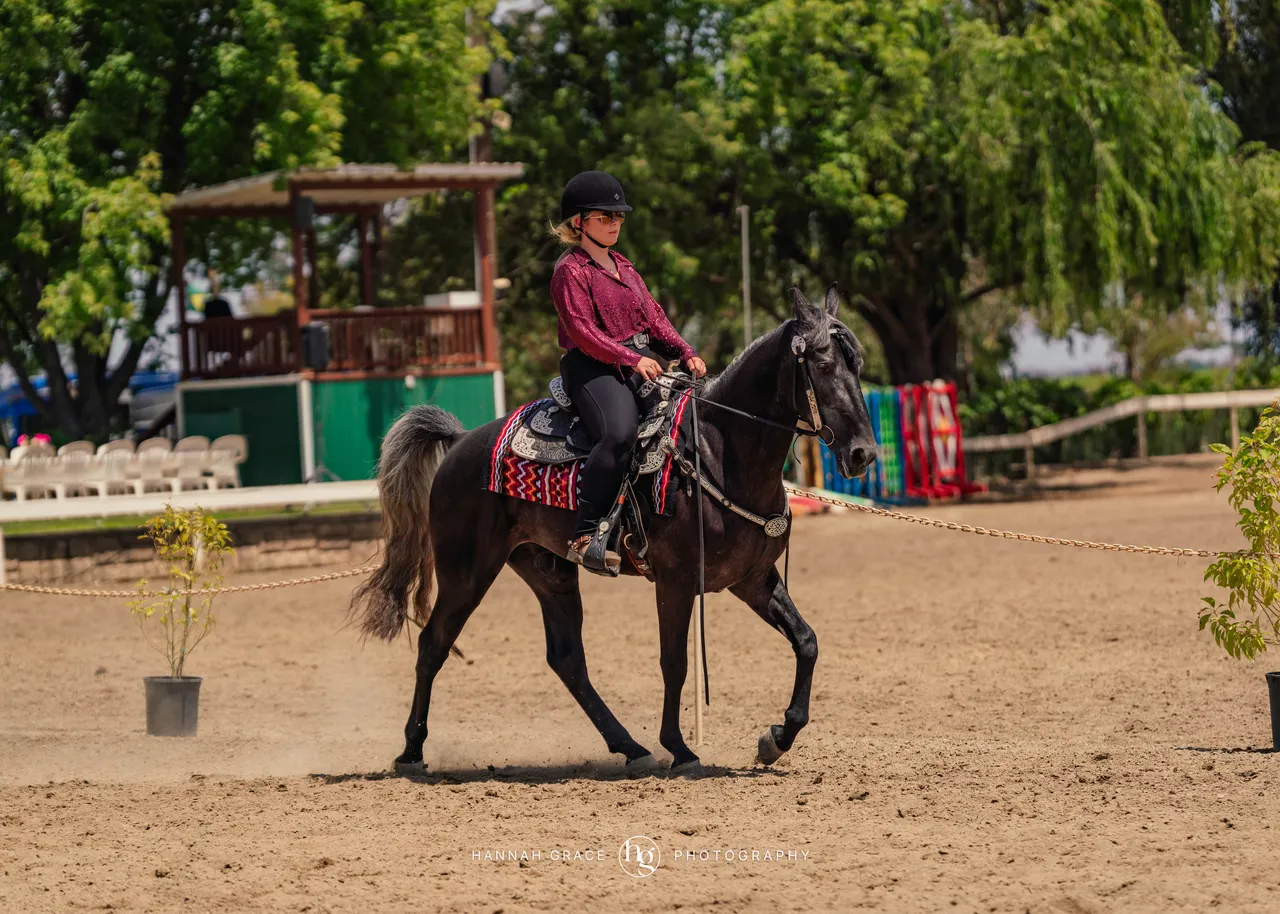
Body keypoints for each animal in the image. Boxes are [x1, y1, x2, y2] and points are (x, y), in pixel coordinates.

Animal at [350, 284, 878, 775]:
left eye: (858, 364)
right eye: (823, 365)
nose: (863, 454)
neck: (717, 450)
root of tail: (461, 441)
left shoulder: (752, 580)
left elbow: (806, 641)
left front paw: (777, 737)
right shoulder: (676, 582)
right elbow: (674, 663)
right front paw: (681, 749)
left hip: (549, 572)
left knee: (567, 660)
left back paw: (630, 747)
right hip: (466, 573)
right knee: (433, 644)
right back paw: (411, 752)